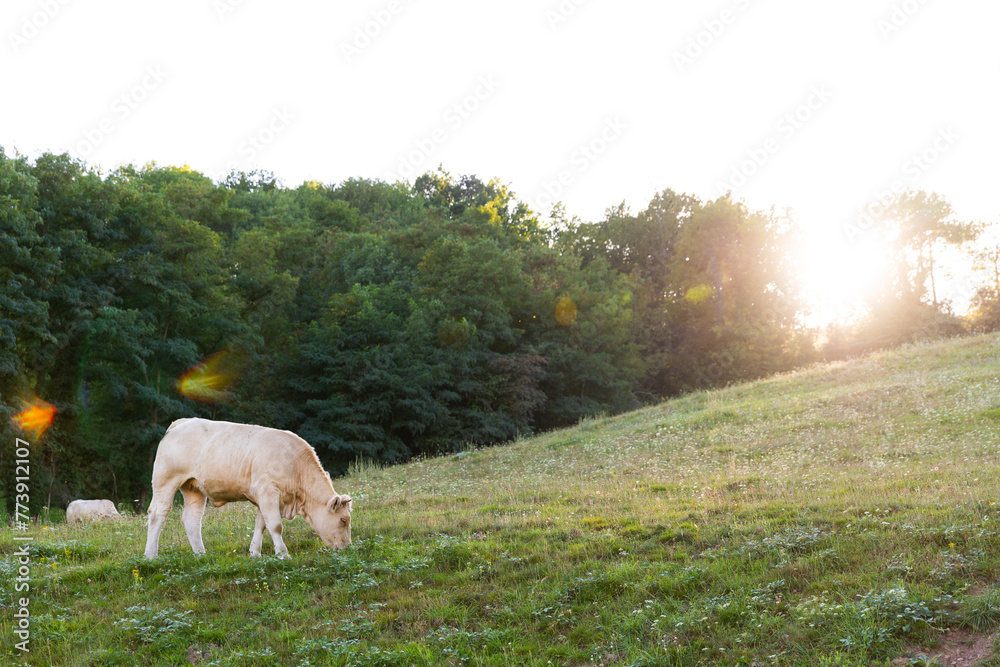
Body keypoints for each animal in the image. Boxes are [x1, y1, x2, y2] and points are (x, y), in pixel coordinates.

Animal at [143, 418, 352, 559]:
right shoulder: (268, 492)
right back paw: (151, 555)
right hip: (165, 481)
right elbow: (275, 525)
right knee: (158, 514)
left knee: (191, 520)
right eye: (343, 520)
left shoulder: (265, 497)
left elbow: (261, 524)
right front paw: (283, 554)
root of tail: (182, 422)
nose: (347, 547)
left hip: (194, 488)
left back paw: (201, 554)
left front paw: (255, 554)